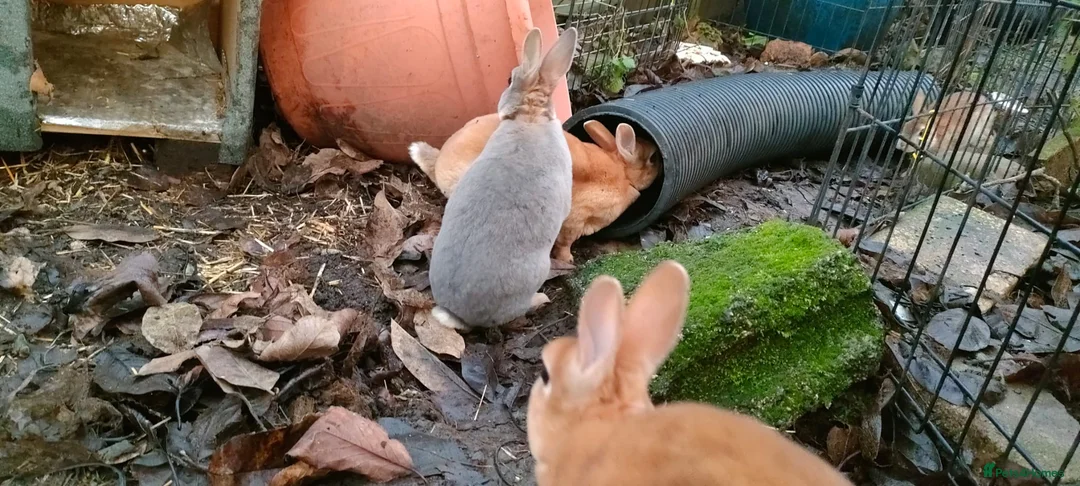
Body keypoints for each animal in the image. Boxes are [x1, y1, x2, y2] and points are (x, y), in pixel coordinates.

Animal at [410, 117, 658, 263]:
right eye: (652, 159)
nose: (661, 165)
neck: (621, 172)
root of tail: (440, 164)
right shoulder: (575, 220)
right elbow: (565, 243)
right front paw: (568, 260)